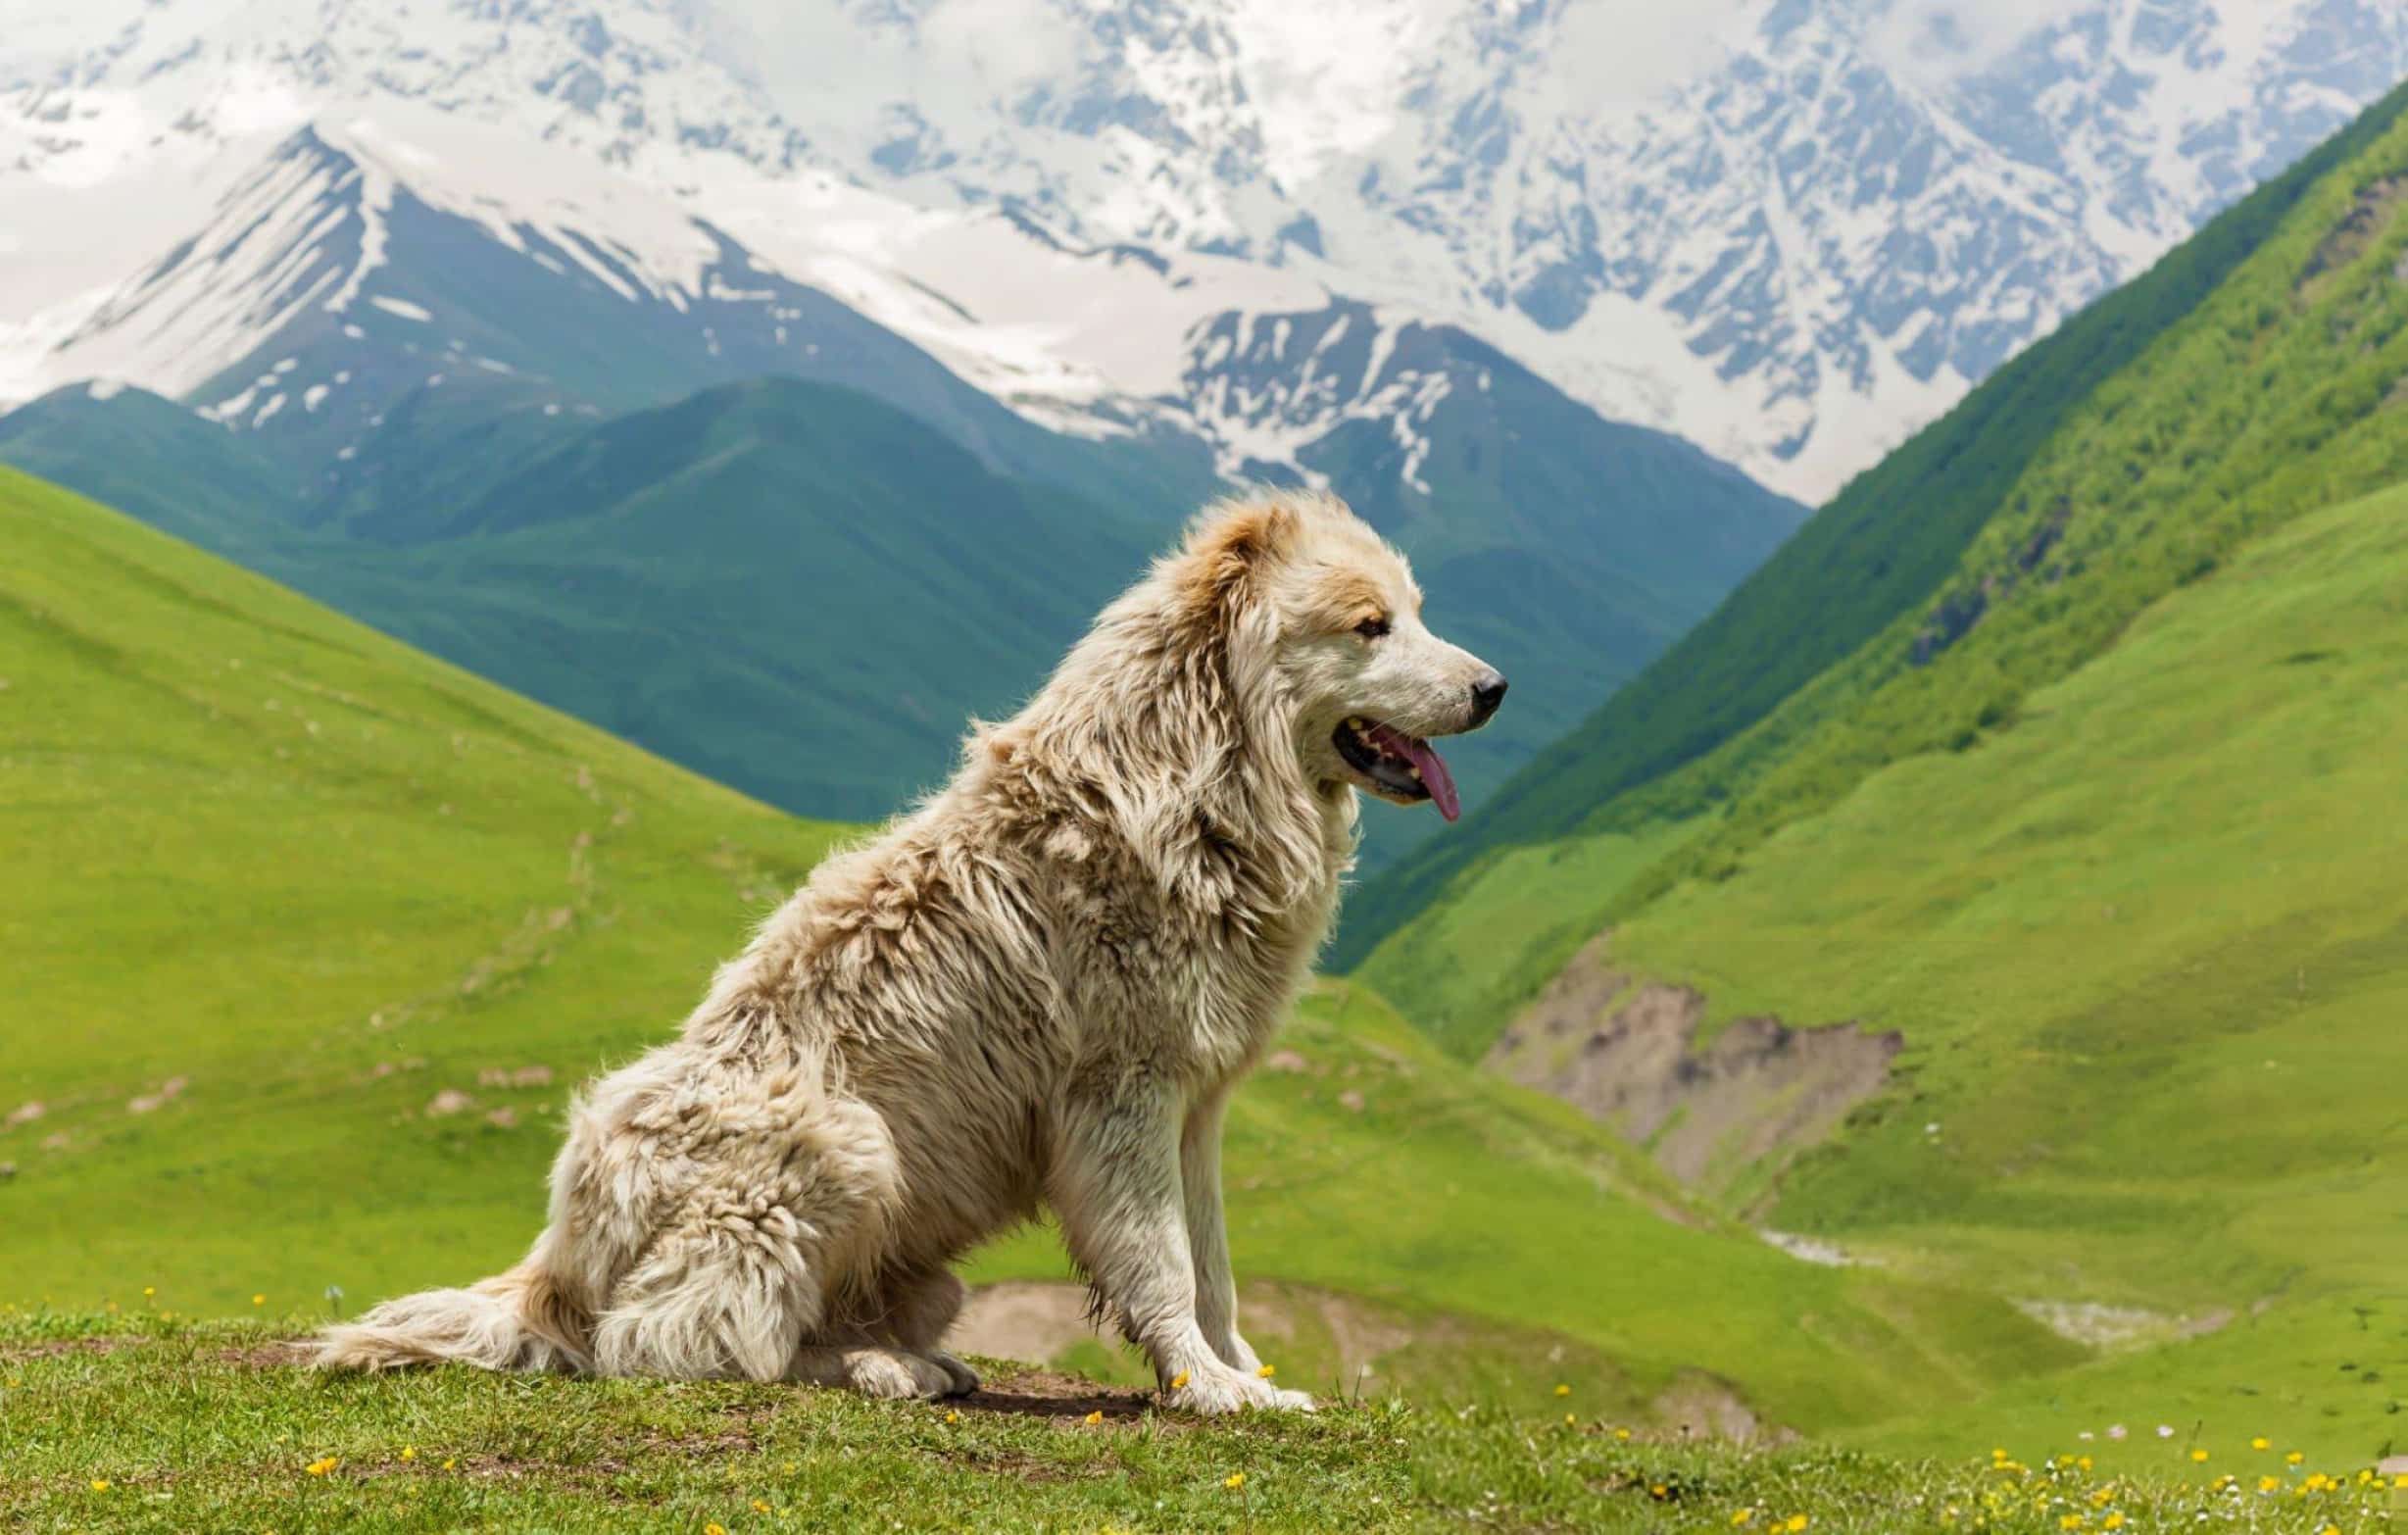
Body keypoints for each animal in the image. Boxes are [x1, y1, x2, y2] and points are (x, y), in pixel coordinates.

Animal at [319, 491, 1502, 1416]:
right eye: (1370, 625)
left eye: (1417, 615)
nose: (1494, 689)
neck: (1199, 769)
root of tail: (553, 1267)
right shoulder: (1121, 1095)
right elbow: (1162, 1262)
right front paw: (1206, 1389)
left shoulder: (1196, 1105)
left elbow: (1214, 1267)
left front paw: (1243, 1376)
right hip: (844, 1141)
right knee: (675, 1341)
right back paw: (881, 1372)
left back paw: (901, 1356)